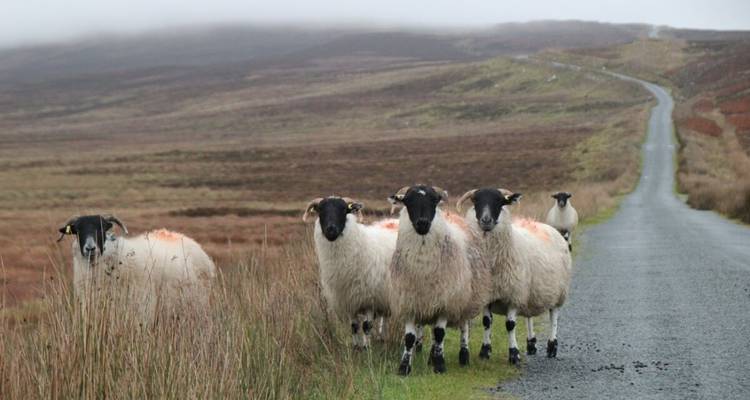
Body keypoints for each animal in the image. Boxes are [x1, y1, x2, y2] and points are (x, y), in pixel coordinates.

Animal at [303, 196, 399, 349]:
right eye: (320, 210)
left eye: (343, 209)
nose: (331, 229)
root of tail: (394, 221)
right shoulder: (349, 299)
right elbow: (354, 326)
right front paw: (356, 347)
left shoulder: (369, 298)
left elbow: (366, 326)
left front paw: (366, 347)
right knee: (385, 316)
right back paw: (382, 337)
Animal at [388, 185, 491, 375]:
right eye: (408, 201)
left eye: (434, 201)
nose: (422, 223)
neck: (422, 266)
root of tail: (453, 216)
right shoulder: (410, 302)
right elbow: (410, 338)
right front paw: (404, 367)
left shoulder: (445, 302)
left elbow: (440, 333)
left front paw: (440, 365)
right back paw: (430, 358)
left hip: (465, 299)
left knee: (463, 327)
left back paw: (463, 355)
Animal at [457, 188, 572, 364]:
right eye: (476, 201)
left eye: (500, 201)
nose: (486, 220)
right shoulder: (487, 296)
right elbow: (486, 322)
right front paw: (485, 352)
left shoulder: (513, 295)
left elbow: (510, 325)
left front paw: (514, 354)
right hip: (530, 294)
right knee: (529, 317)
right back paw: (531, 344)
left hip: (559, 293)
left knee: (554, 317)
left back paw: (552, 346)